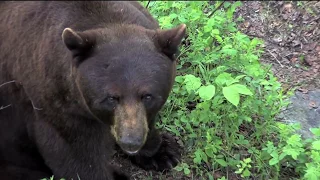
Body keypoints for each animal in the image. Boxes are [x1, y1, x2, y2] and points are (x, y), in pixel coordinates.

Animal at [0, 1, 186, 180]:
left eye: (147, 96)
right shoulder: (56, 105)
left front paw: (163, 153)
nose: (131, 142)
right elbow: (77, 155)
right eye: (111, 98)